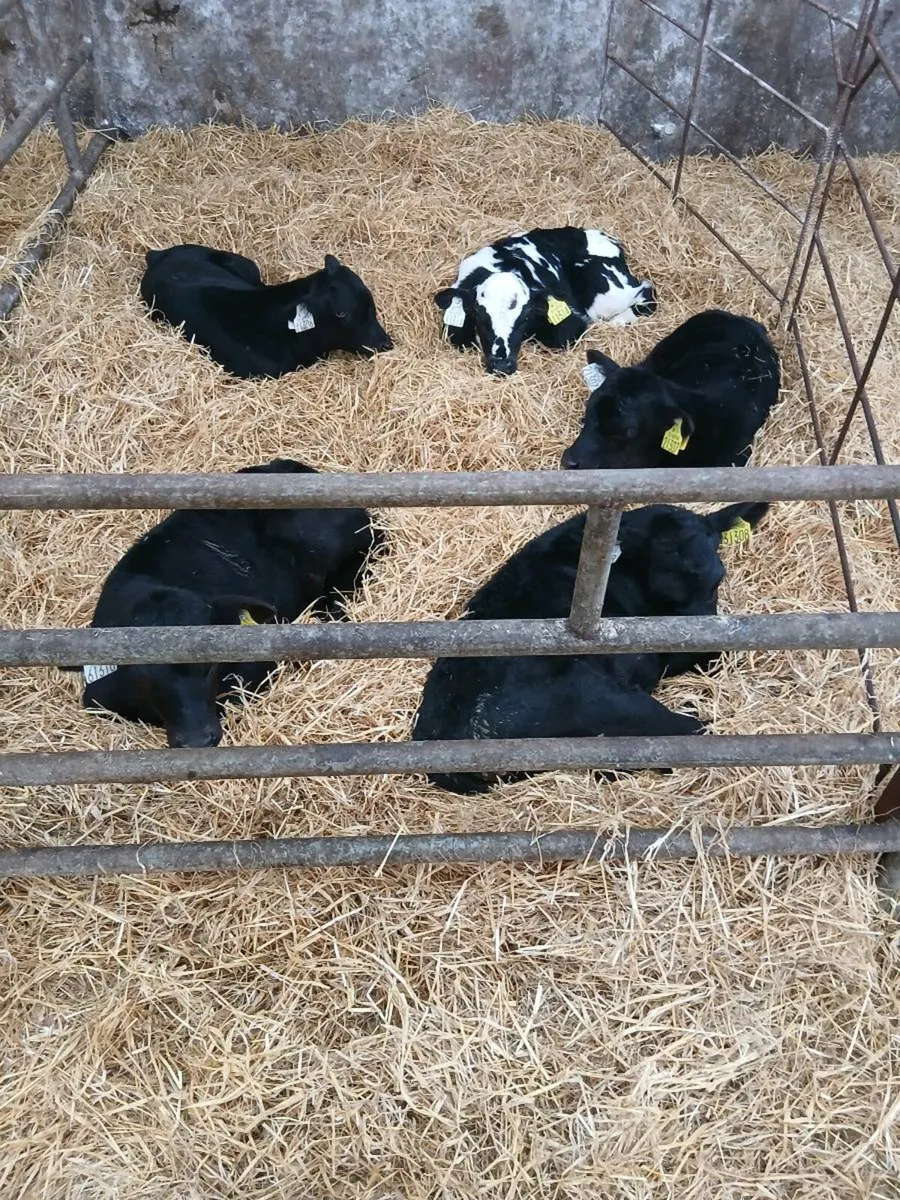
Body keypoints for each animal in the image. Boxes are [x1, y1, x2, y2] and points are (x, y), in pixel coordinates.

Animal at [433, 226, 655, 375]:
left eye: (524, 318)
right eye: (480, 316)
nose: (502, 365)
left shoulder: (571, 322)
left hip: (607, 292)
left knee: (646, 292)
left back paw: (619, 321)